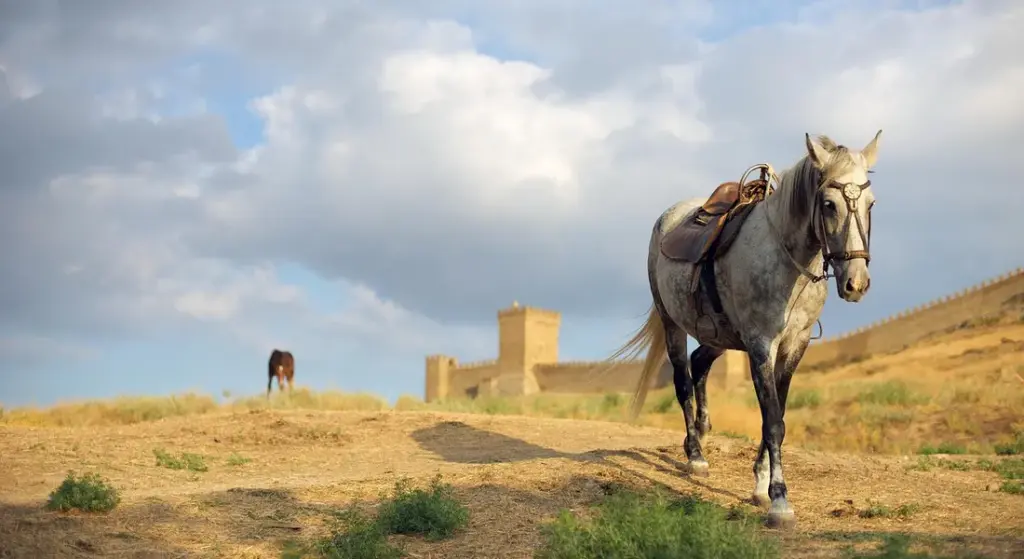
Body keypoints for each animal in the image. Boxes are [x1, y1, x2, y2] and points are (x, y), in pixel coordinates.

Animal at [607, 130, 882, 528]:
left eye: (871, 204)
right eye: (829, 204)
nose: (856, 283)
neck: (787, 262)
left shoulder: (793, 346)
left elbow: (777, 414)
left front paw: (761, 483)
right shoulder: (760, 345)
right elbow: (773, 421)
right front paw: (779, 500)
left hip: (718, 334)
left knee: (700, 363)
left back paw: (702, 432)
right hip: (673, 323)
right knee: (682, 380)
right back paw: (695, 454)